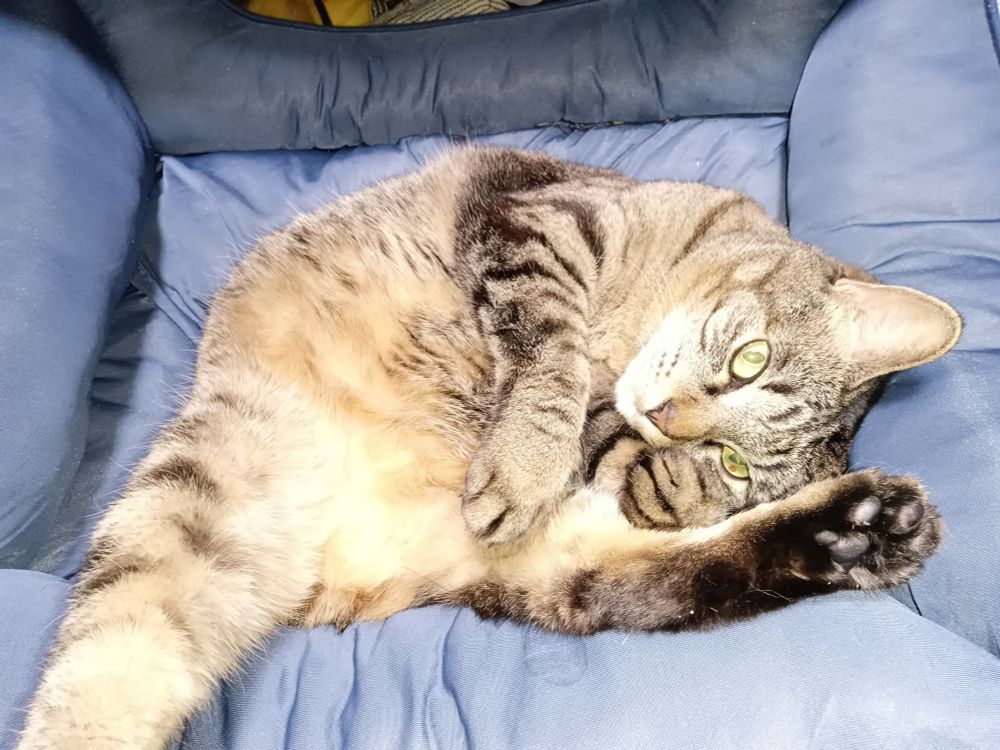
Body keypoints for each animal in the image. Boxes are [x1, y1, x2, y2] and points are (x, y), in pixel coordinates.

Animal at [17, 147, 960, 749]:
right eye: (748, 361)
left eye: (735, 462)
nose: (669, 420)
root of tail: (325, 577)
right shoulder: (536, 216)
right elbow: (553, 357)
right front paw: (538, 452)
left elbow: (613, 447)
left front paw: (650, 475)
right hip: (198, 487)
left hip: (536, 577)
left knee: (675, 578)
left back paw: (868, 528)